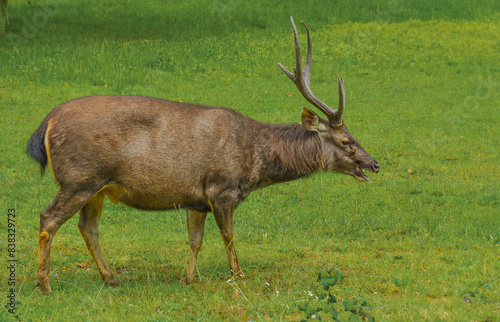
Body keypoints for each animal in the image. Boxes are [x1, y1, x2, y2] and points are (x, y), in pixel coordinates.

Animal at [27, 17, 378, 294]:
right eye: (347, 141)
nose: (374, 164)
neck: (254, 162)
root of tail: (47, 123)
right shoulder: (220, 188)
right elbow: (228, 236)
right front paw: (238, 274)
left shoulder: (195, 200)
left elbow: (195, 239)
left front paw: (189, 278)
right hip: (80, 177)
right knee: (48, 218)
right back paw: (44, 284)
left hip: (97, 186)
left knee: (88, 227)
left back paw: (111, 278)